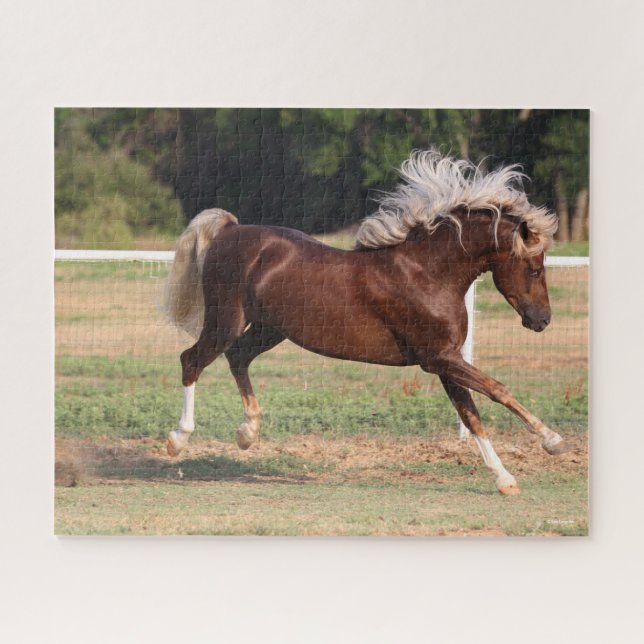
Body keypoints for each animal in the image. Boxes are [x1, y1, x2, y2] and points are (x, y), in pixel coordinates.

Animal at [162, 150, 570, 495]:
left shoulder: (445, 360)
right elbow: (498, 390)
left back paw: (247, 433)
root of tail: (230, 230)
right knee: (191, 360)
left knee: (237, 357)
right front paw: (553, 441)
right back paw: (178, 440)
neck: (427, 274)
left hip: (269, 329)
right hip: (226, 320)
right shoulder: (438, 358)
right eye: (535, 268)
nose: (542, 320)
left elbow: (471, 414)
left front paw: (506, 479)